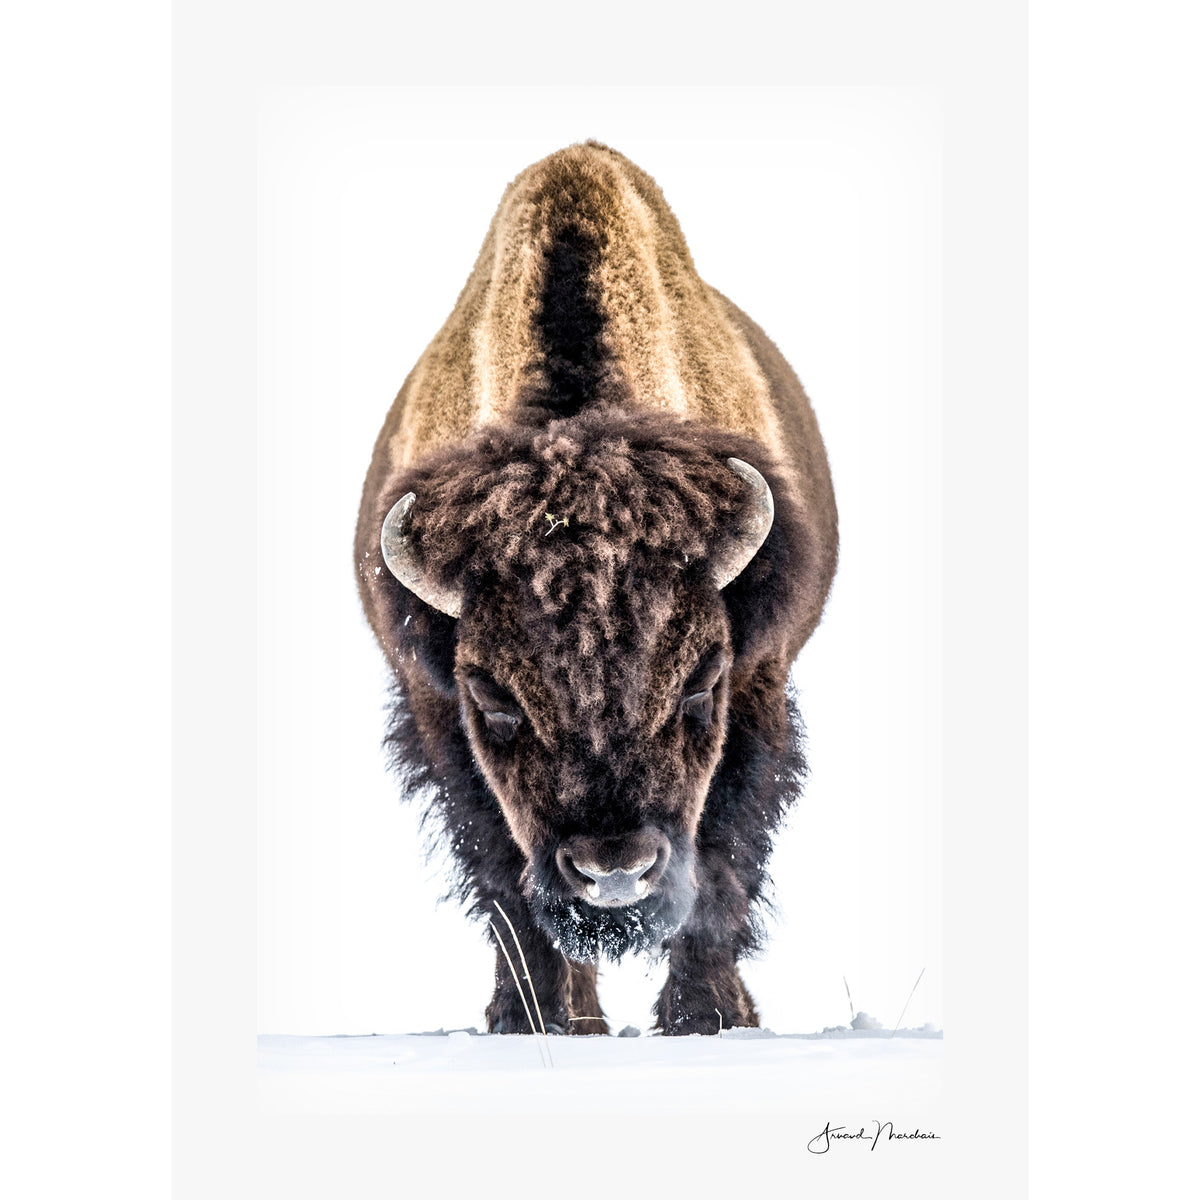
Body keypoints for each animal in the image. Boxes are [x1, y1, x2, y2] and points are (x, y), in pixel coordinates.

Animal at [355, 142, 838, 1035]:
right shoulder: (436, 712)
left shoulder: (759, 683)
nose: (614, 871)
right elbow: (505, 881)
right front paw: (536, 1021)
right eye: (494, 697)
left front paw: (705, 1017)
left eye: (701, 682)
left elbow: (722, 861)